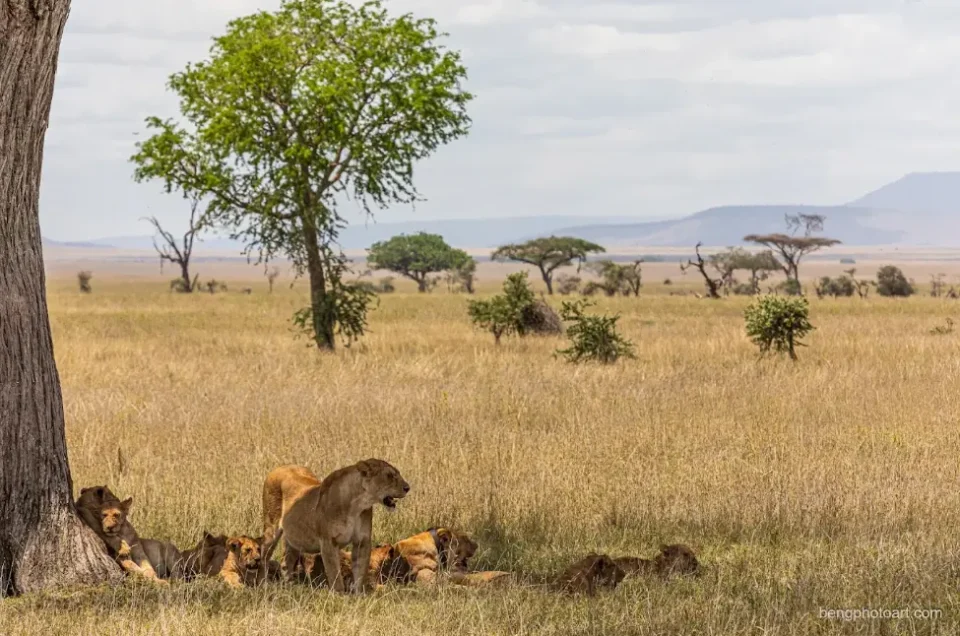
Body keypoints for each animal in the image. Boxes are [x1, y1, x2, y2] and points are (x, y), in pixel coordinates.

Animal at [261, 460, 410, 593]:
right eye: (389, 475)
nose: (408, 488)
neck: (357, 505)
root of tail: (282, 466)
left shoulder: (362, 541)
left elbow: (360, 571)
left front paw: (359, 596)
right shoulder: (328, 542)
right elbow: (335, 574)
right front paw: (339, 596)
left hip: (295, 538)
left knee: (286, 562)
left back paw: (291, 587)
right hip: (271, 528)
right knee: (265, 553)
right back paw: (263, 582)